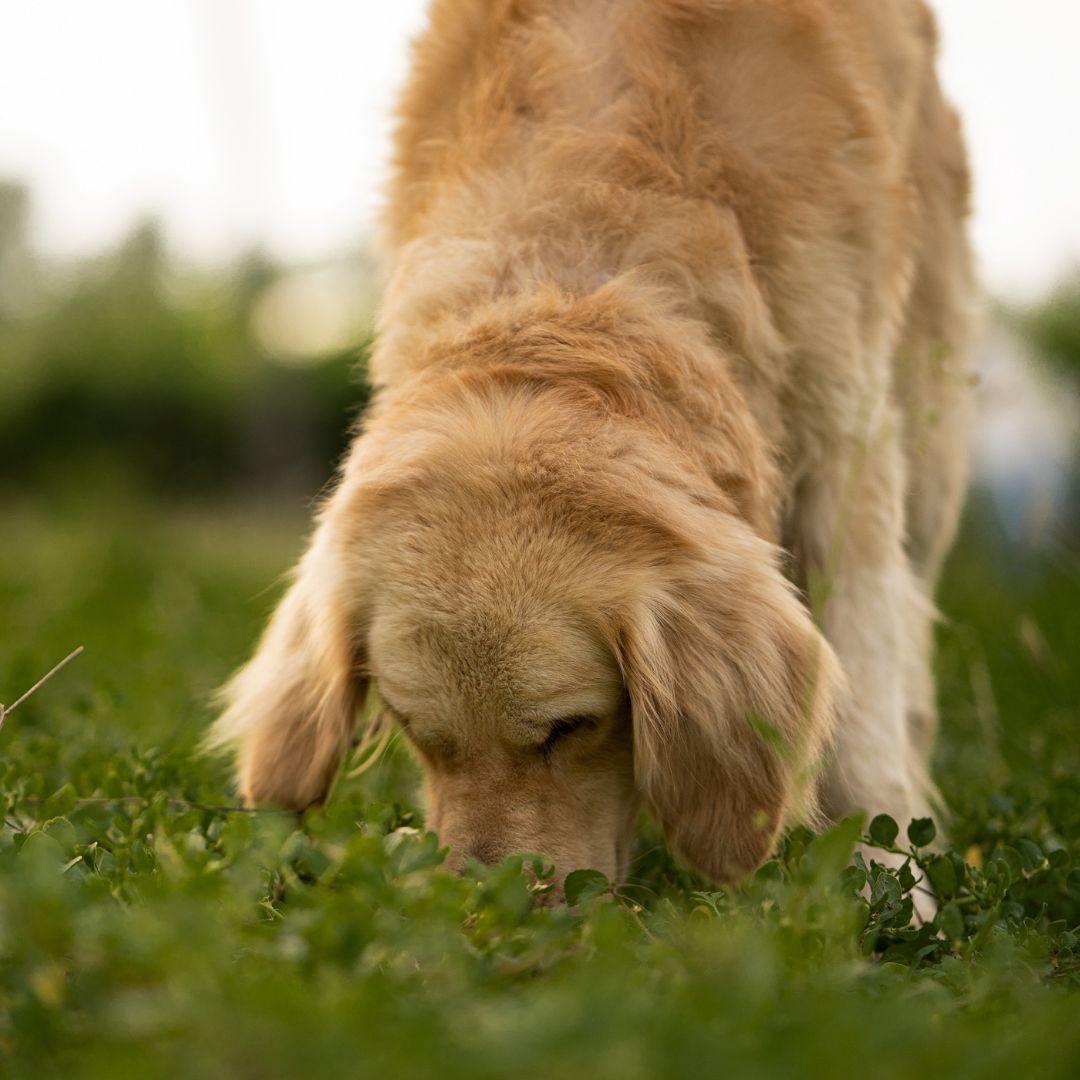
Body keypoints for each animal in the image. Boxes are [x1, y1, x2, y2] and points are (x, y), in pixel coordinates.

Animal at [206, 0, 976, 894]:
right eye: (414, 728)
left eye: (570, 727)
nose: (486, 902)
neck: (573, 266)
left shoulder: (843, 445)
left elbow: (863, 717)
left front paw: (888, 886)